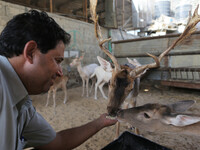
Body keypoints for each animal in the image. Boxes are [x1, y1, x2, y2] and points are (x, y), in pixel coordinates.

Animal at [90, 0, 200, 138]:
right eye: (110, 82)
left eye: (131, 87)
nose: (112, 111)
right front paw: (116, 135)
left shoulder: (134, 98)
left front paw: (136, 131)